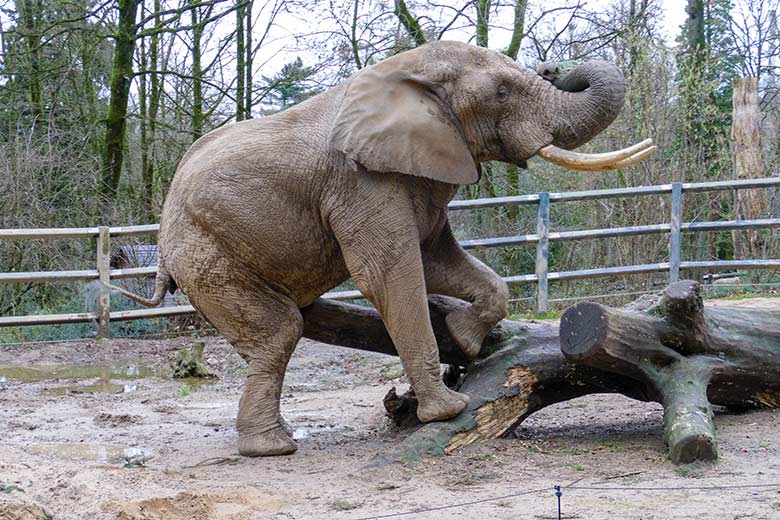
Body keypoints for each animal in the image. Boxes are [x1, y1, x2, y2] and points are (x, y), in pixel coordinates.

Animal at [114, 39, 652, 456]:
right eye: (501, 92)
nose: (555, 67)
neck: (407, 71)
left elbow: (441, 261)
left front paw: (465, 339)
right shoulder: (361, 183)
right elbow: (389, 275)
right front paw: (448, 410)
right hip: (208, 254)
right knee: (278, 332)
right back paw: (273, 448)